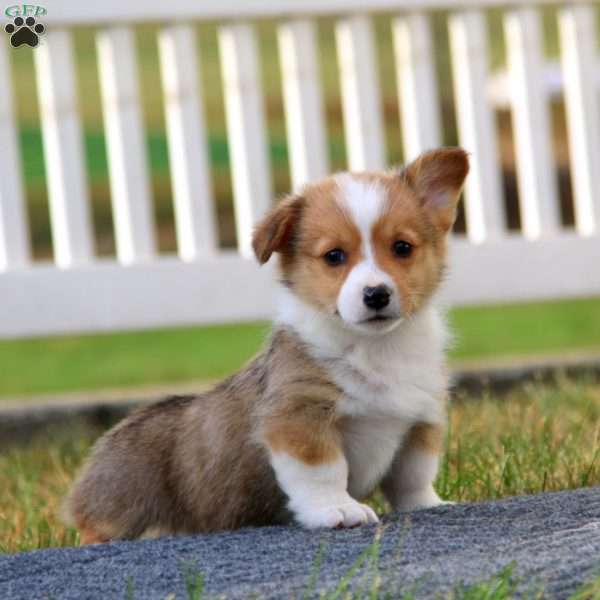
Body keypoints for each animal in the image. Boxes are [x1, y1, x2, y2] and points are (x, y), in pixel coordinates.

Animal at [64, 148, 468, 540]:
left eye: (402, 247)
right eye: (334, 256)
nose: (377, 295)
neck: (376, 348)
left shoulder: (420, 421)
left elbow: (413, 476)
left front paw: (428, 505)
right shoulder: (299, 420)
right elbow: (324, 473)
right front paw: (338, 510)